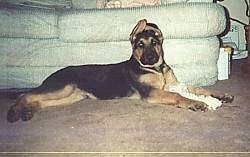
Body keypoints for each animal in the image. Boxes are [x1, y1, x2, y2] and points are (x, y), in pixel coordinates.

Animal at [7, 19, 234, 122]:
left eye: (154, 43)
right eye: (140, 45)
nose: (150, 58)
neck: (156, 69)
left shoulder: (174, 84)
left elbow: (198, 89)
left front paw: (220, 95)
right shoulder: (151, 93)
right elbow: (178, 96)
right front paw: (195, 103)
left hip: (72, 96)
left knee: (37, 100)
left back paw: (27, 111)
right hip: (63, 88)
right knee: (25, 94)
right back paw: (14, 112)